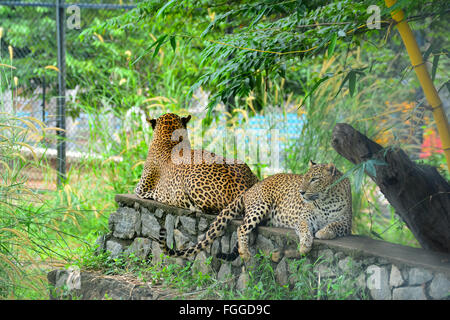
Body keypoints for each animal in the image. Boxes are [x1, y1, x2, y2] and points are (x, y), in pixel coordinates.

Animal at [157, 161, 352, 262]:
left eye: (314, 179)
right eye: (304, 178)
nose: (301, 192)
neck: (325, 199)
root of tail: (250, 189)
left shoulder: (347, 223)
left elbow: (335, 225)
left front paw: (324, 232)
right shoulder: (303, 218)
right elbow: (305, 229)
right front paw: (305, 244)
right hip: (261, 205)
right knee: (241, 228)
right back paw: (245, 252)